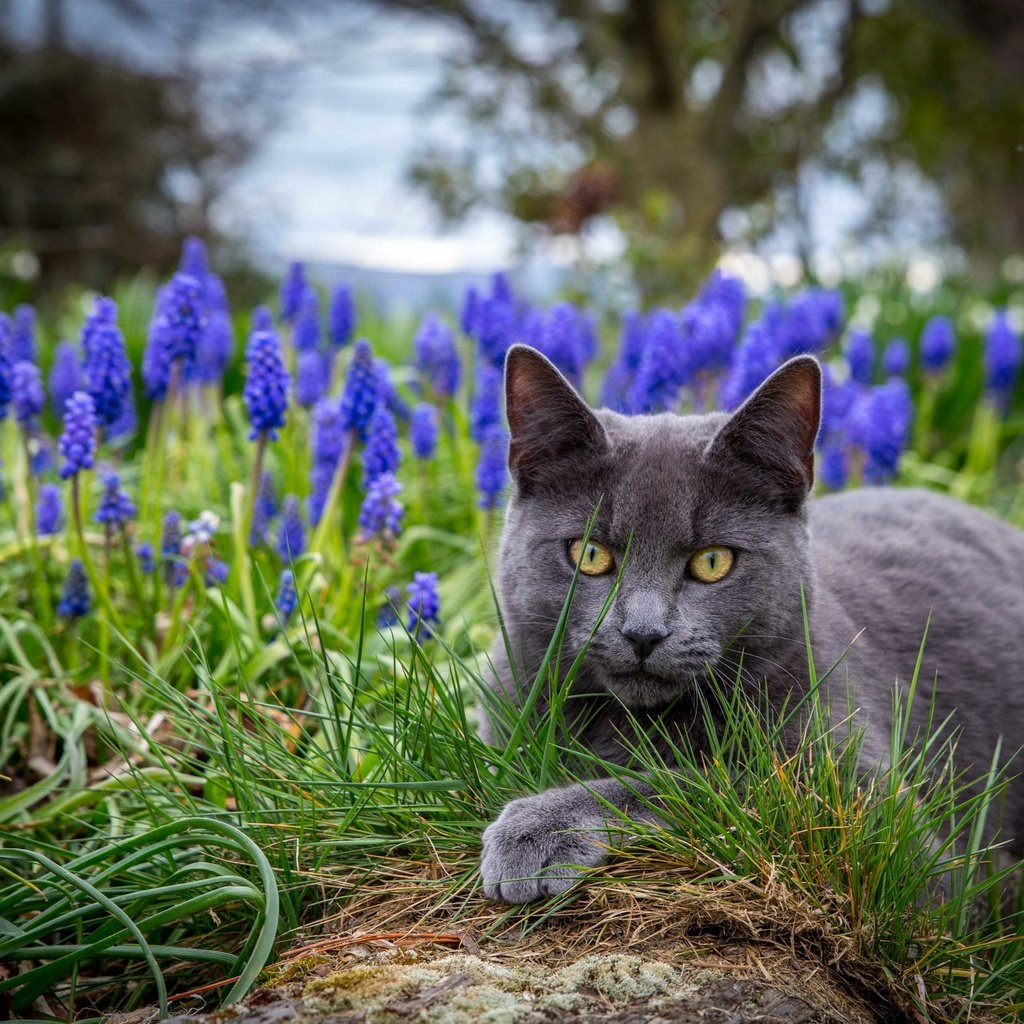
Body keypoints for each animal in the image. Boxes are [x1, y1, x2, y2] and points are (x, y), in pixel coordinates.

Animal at [477, 346, 1024, 905]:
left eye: (712, 561)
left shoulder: (885, 821)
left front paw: (540, 826)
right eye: (589, 554)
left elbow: (718, 785)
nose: (643, 633)